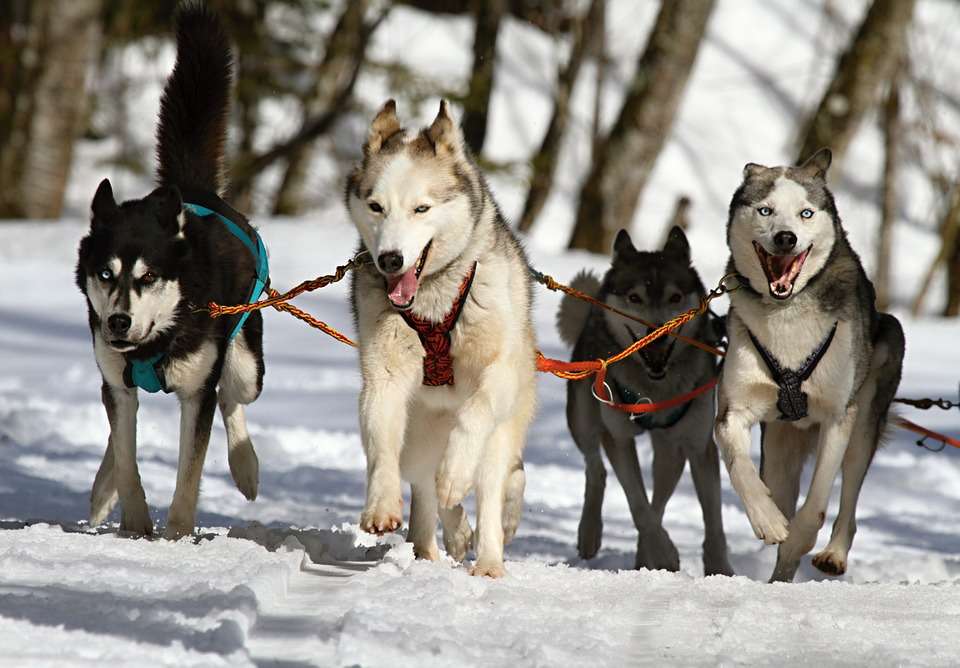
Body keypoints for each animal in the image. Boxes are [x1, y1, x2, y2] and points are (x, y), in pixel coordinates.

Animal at [76, 3, 266, 536]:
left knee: (233, 398)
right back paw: (102, 490)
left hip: (246, 361)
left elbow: (190, 470)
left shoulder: (197, 392)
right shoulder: (118, 381)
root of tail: (192, 189)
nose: (119, 321)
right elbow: (126, 455)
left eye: (148, 276)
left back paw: (246, 467)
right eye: (105, 274)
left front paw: (178, 534)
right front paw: (135, 524)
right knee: (116, 429)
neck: (156, 340)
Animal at [346, 96, 540, 576]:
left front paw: (455, 473)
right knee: (424, 486)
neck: (433, 301)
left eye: (422, 209)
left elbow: (474, 415)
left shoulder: (497, 374)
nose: (390, 259)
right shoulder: (383, 377)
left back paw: (487, 560)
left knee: (490, 485)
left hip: (502, 431)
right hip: (418, 435)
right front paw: (381, 506)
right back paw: (437, 541)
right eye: (376, 207)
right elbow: (381, 444)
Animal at [560, 228, 732, 576]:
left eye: (675, 298)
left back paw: (643, 556)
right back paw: (590, 533)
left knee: (661, 496)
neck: (655, 387)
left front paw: (720, 569)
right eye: (635, 298)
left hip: (670, 450)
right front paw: (664, 553)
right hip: (583, 418)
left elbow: (713, 520)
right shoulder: (619, 438)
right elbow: (637, 503)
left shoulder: (698, 445)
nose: (658, 333)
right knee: (595, 469)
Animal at [716, 149, 904, 580]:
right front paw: (767, 520)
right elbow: (740, 467)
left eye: (805, 213)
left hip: (865, 419)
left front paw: (800, 537)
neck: (786, 314)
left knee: (848, 498)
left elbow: (817, 503)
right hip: (779, 449)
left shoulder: (837, 416)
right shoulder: (734, 410)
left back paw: (831, 554)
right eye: (765, 210)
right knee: (779, 487)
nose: (786, 237)